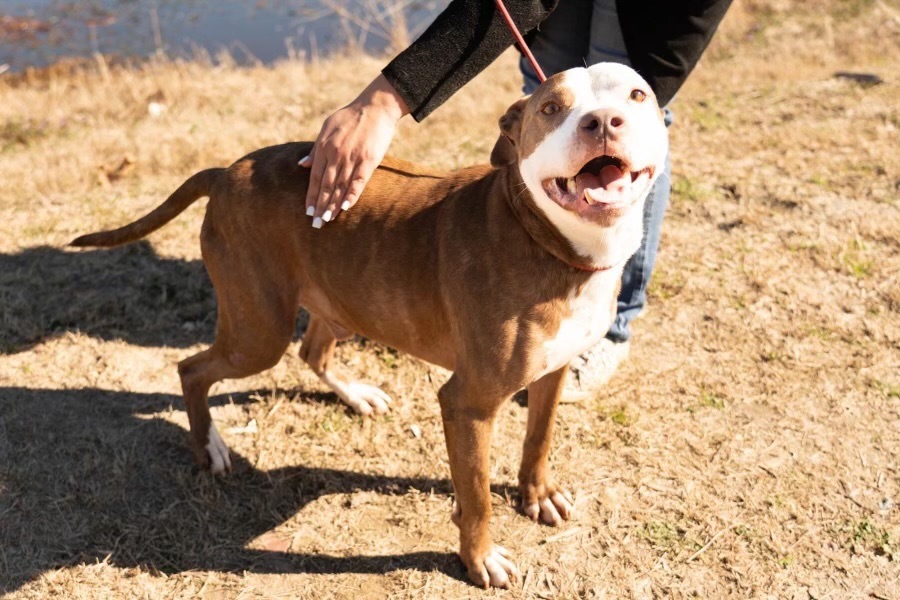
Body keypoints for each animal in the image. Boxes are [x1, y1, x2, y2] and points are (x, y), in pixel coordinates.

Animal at [72, 63, 668, 588]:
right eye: (551, 108)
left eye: (637, 95)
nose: (603, 121)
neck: (551, 242)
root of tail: (227, 172)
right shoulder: (468, 404)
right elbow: (475, 497)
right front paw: (480, 559)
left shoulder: (553, 370)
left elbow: (538, 439)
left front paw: (537, 495)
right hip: (258, 331)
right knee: (193, 367)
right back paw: (211, 448)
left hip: (341, 301)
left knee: (311, 351)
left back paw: (355, 395)